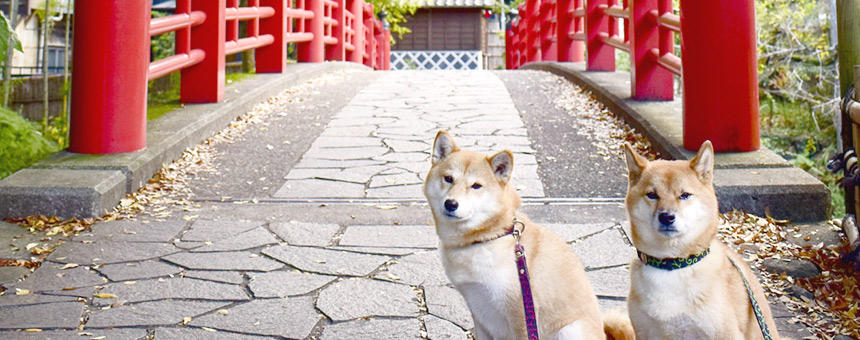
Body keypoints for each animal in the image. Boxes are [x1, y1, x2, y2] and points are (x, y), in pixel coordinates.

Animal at [424, 131, 632, 340]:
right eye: (448, 178)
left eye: (476, 186)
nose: (451, 204)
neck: (488, 237)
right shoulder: (479, 311)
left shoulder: (521, 313)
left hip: (570, 330)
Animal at [620, 141, 784, 340]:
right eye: (652, 194)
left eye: (684, 195)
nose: (667, 217)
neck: (672, 265)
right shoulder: (646, 332)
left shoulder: (726, 333)